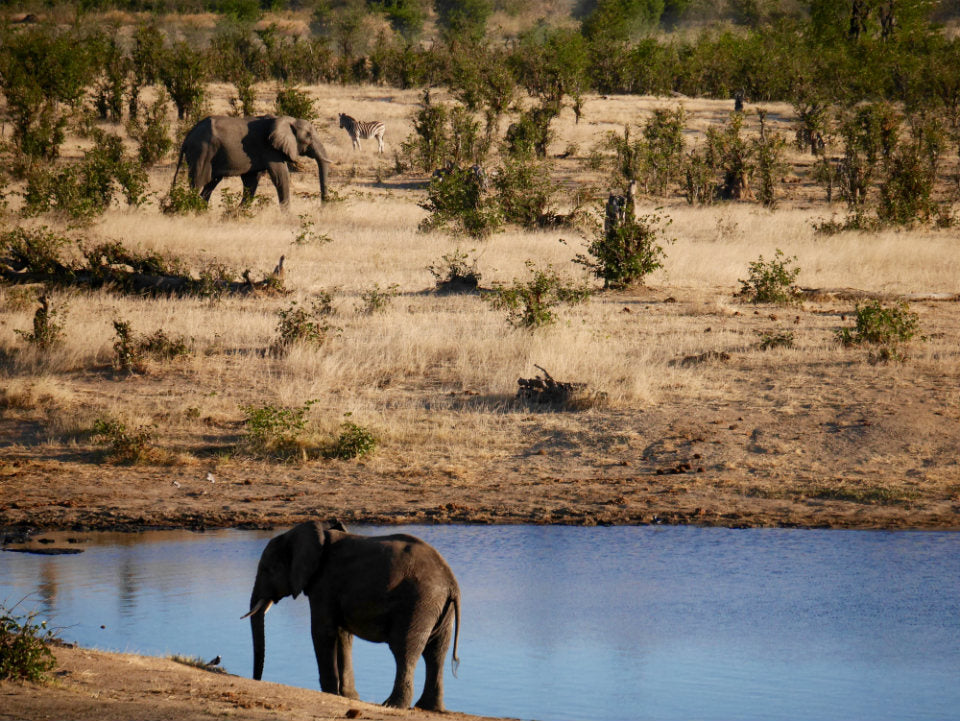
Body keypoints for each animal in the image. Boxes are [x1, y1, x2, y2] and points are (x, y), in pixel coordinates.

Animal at [172, 115, 334, 204]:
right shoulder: (270, 149)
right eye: (309, 136)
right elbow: (281, 177)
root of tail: (188, 136)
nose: (322, 207)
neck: (287, 119)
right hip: (202, 152)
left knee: (210, 184)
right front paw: (288, 218)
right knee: (198, 182)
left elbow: (251, 182)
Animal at [244, 520, 462, 712]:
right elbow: (343, 636)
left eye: (268, 569)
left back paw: (392, 705)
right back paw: (428, 707)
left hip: (418, 602)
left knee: (405, 650)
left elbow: (323, 632)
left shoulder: (324, 583)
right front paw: (348, 696)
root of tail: (451, 582)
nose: (257, 680)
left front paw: (331, 693)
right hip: (438, 607)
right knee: (436, 652)